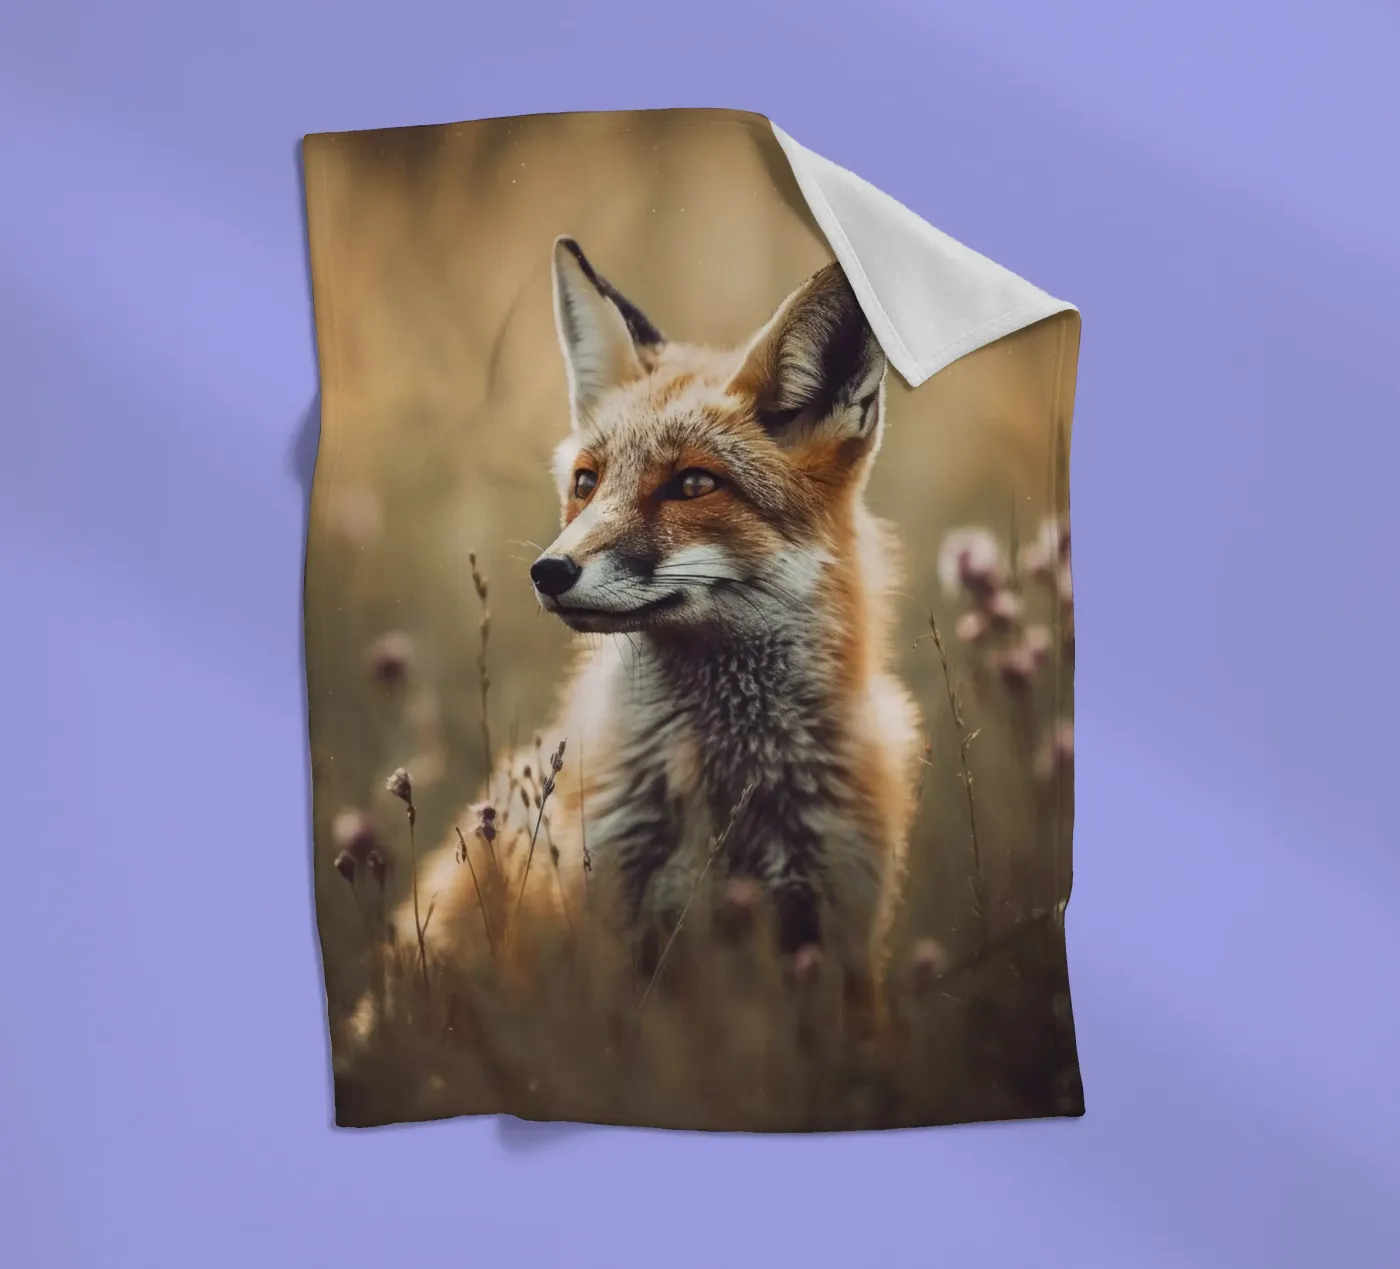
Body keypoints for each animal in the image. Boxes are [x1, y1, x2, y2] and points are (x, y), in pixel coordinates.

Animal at [364, 236, 922, 1040]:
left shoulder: (840, 931)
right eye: (587, 482)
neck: (731, 790)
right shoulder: (610, 931)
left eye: (693, 485)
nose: (548, 571)